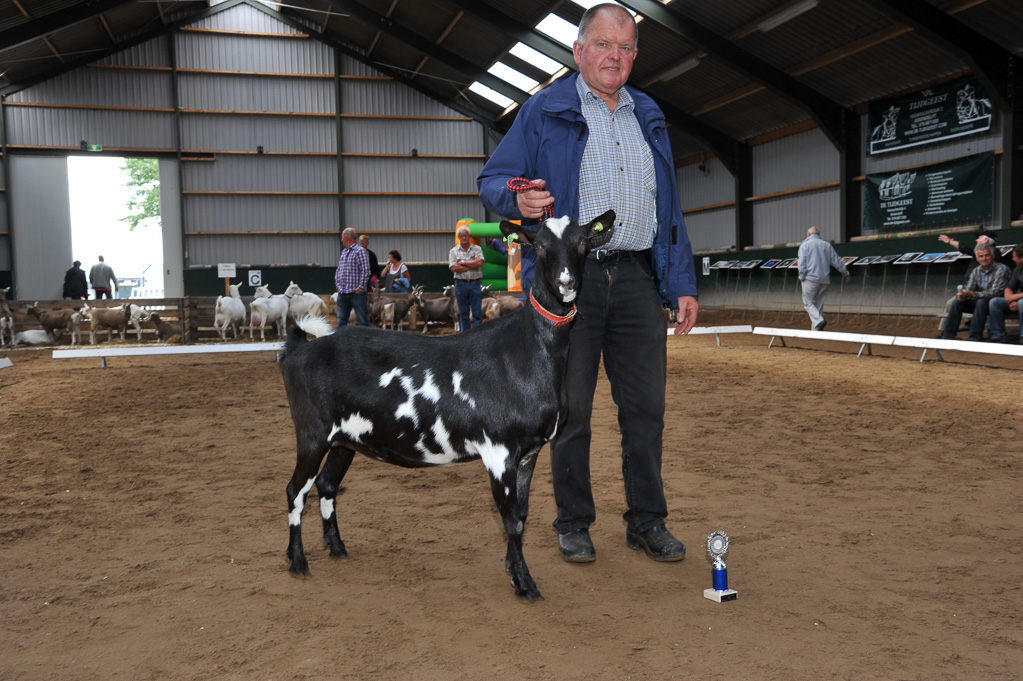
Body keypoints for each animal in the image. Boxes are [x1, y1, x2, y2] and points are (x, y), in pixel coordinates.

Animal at [280, 210, 609, 601]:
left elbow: (522, 515)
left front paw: (513, 573)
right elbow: (511, 520)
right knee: (295, 490)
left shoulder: (528, 452)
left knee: (327, 484)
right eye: (539, 245)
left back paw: (337, 548)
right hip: (312, 434)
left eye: (583, 242)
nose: (566, 282)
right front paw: (526, 585)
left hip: (345, 440)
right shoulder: (498, 450)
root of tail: (301, 349)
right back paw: (297, 562)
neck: (526, 350)